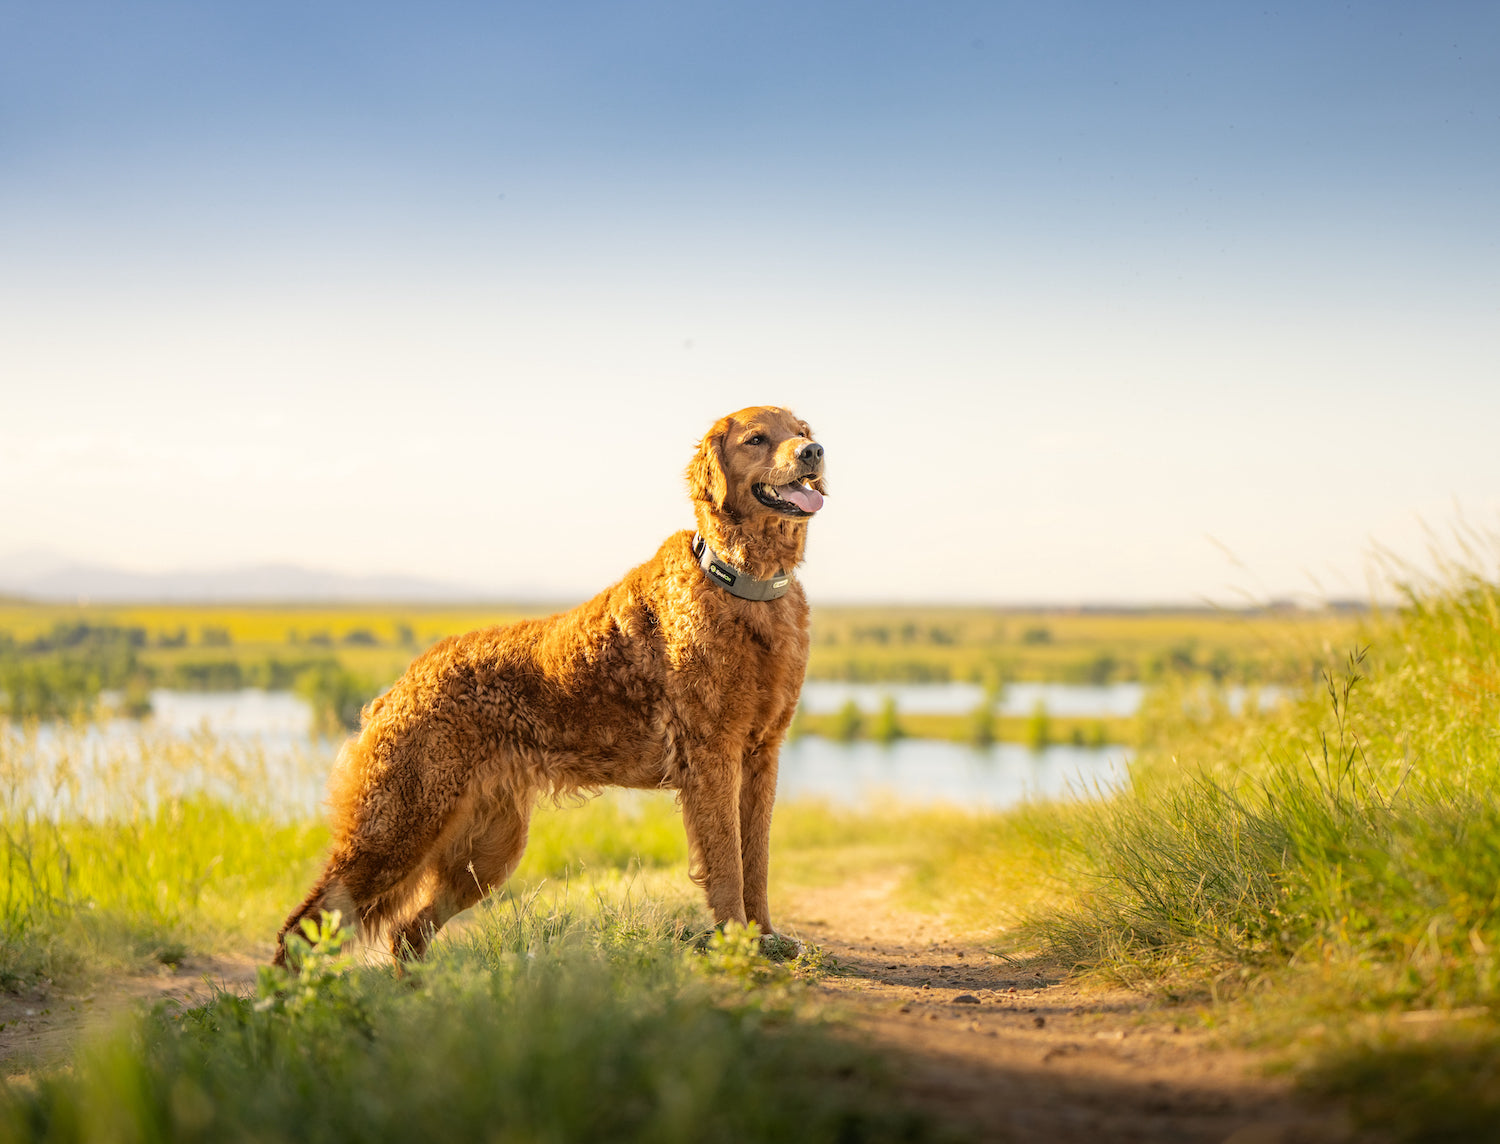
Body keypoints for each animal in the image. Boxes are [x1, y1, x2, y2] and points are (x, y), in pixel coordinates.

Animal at [276, 407, 828, 959]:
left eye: (802, 432)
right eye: (757, 439)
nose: (814, 452)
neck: (744, 584)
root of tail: (399, 685)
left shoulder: (761, 755)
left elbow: (756, 861)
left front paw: (766, 936)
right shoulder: (713, 756)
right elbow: (729, 865)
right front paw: (738, 941)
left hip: (486, 849)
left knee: (405, 933)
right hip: (398, 827)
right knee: (304, 926)